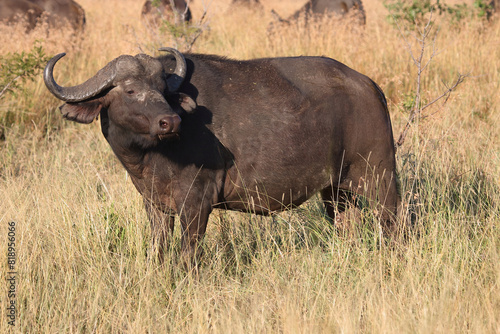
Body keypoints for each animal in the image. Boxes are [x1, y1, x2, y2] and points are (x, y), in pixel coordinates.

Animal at [45, 47, 400, 264]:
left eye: (163, 89)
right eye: (130, 89)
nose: (170, 121)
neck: (152, 156)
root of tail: (369, 87)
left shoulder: (196, 201)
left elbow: (188, 254)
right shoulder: (155, 205)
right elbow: (159, 251)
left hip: (379, 179)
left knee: (393, 223)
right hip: (336, 191)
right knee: (347, 226)